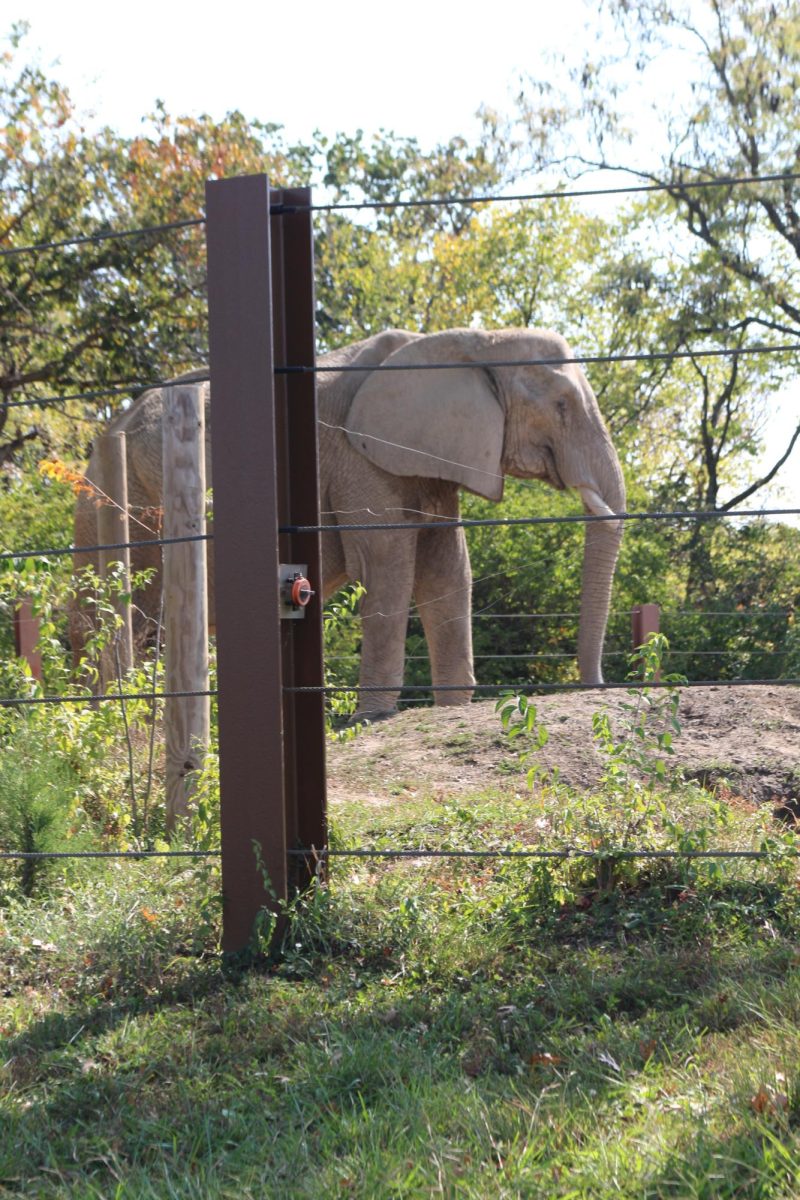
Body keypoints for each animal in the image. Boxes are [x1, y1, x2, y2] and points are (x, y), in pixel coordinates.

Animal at [71, 331, 623, 710]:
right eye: (561, 406)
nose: (595, 686)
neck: (475, 341)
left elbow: (446, 569)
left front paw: (451, 710)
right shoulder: (358, 457)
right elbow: (389, 566)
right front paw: (372, 720)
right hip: (127, 500)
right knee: (124, 619)